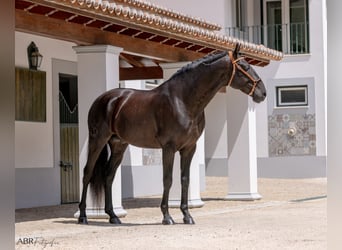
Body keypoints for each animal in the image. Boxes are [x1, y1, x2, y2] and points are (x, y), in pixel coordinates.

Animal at [78, 44, 268, 225]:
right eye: (245, 66)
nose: (263, 92)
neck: (183, 101)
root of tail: (104, 99)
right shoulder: (168, 147)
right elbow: (167, 179)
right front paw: (167, 216)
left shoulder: (189, 148)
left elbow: (185, 179)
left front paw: (187, 216)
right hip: (97, 140)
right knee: (87, 172)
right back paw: (83, 216)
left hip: (119, 145)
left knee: (108, 176)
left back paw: (113, 216)